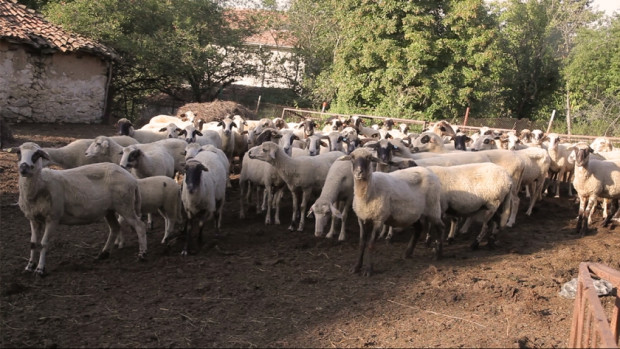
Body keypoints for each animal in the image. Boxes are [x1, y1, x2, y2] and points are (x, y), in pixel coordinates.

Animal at [17, 141, 147, 274]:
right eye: (19, 153)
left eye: (36, 154)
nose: (23, 168)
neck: (41, 186)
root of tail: (132, 179)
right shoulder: (33, 219)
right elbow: (33, 243)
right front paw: (29, 266)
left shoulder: (53, 218)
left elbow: (44, 243)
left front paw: (40, 269)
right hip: (109, 210)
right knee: (115, 228)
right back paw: (103, 253)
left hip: (125, 205)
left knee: (140, 226)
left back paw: (142, 255)